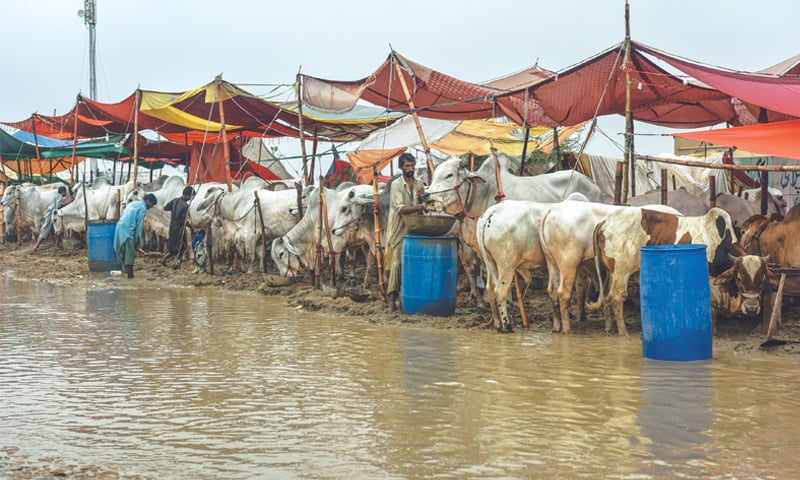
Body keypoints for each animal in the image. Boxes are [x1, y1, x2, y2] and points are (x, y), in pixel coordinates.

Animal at [592, 208, 740, 336]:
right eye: (738, 278)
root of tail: (605, 222)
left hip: (611, 272)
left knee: (606, 296)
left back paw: (608, 328)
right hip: (621, 272)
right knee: (616, 298)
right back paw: (623, 332)